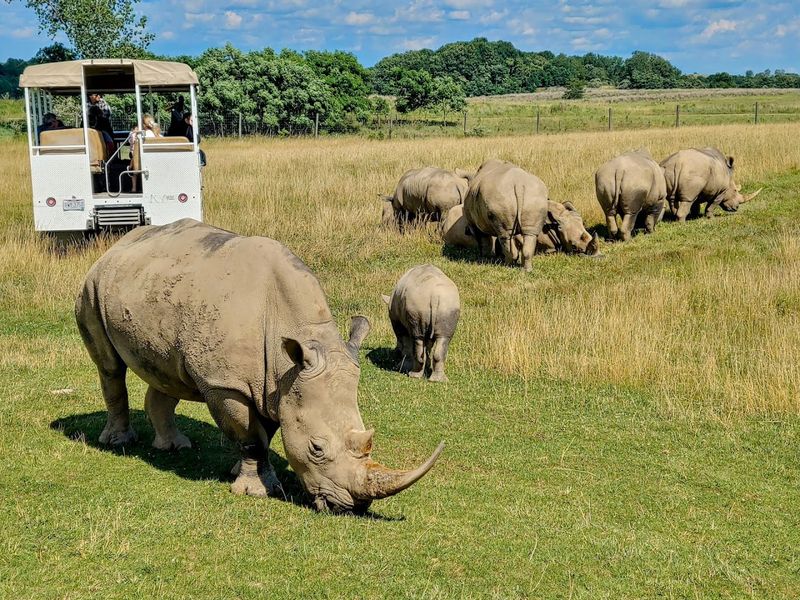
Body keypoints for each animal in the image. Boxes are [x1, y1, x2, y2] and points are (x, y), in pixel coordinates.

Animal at [75, 218, 443, 514]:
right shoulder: (226, 384)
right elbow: (252, 436)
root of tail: (117, 246)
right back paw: (119, 443)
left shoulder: (276, 383)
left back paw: (175, 446)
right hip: (91, 286)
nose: (353, 506)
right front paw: (255, 491)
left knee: (167, 373)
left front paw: (243, 473)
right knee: (110, 367)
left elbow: (265, 431)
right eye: (317, 448)